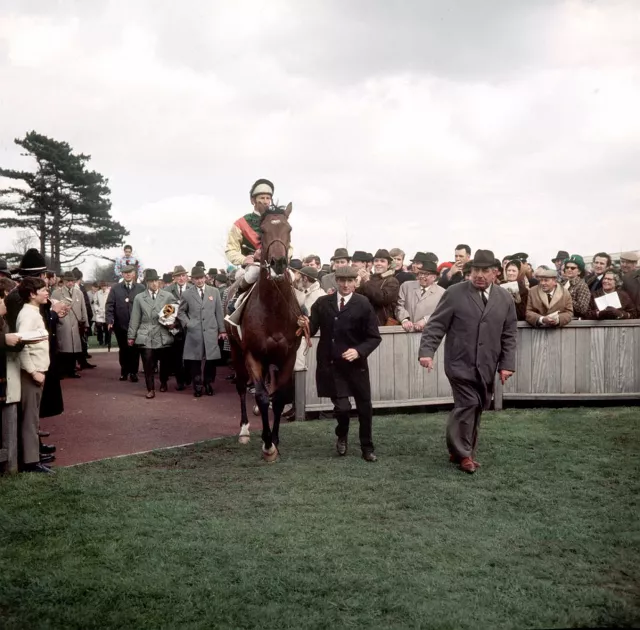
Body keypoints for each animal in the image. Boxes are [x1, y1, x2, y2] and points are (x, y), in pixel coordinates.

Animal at [225, 204, 304, 464]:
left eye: (289, 229)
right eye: (262, 231)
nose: (278, 262)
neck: (274, 310)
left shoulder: (288, 355)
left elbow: (278, 397)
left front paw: (275, 440)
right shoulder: (253, 354)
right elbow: (260, 395)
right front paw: (267, 445)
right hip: (236, 351)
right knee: (241, 386)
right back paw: (244, 430)